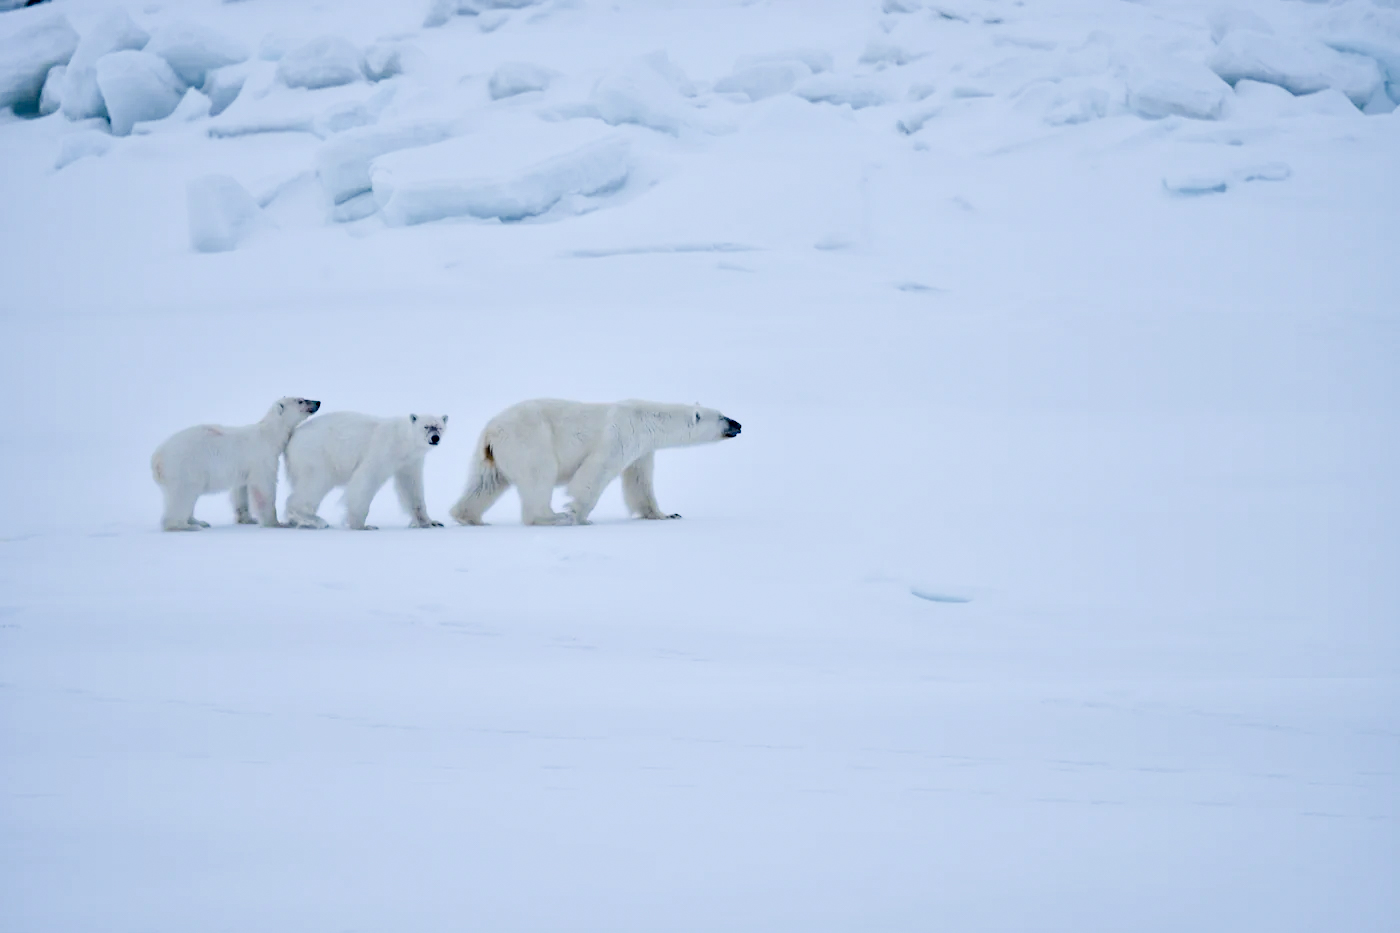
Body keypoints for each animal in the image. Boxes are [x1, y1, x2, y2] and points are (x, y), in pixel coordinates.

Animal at [151, 397, 321, 531]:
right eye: (300, 400)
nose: (318, 402)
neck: (269, 435)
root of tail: (157, 458)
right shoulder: (261, 458)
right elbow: (264, 487)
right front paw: (276, 523)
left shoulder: (244, 467)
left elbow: (241, 490)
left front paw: (248, 519)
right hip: (185, 466)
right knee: (183, 495)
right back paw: (185, 526)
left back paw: (199, 521)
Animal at [283, 411, 449, 530]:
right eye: (426, 426)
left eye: (439, 427)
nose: (435, 438)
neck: (402, 441)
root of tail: (292, 437)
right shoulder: (383, 450)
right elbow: (366, 479)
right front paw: (362, 525)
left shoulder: (410, 461)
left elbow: (411, 487)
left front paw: (430, 522)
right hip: (316, 455)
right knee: (315, 483)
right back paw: (313, 519)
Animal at [449, 399, 741, 527]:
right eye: (722, 417)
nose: (738, 424)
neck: (647, 418)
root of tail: (491, 431)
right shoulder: (619, 434)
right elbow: (594, 473)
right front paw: (578, 515)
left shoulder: (642, 450)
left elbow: (640, 483)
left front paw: (666, 514)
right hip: (530, 440)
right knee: (539, 475)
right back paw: (553, 517)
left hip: (491, 455)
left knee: (484, 483)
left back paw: (469, 517)